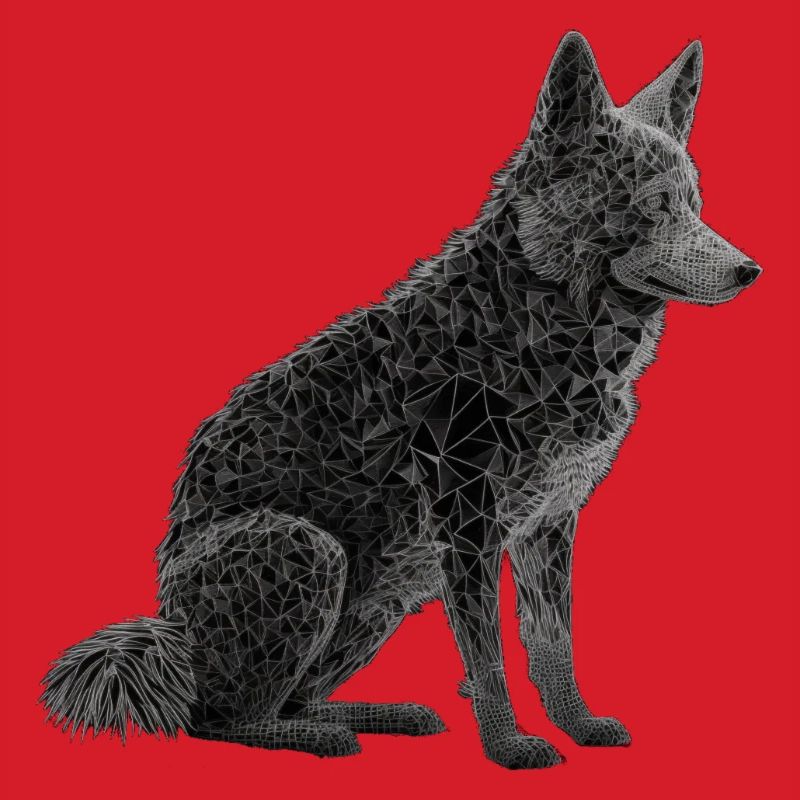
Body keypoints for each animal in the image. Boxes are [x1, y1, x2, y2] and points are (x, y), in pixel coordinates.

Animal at [42, 32, 760, 769]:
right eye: (656, 205)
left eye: (695, 203)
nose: (750, 270)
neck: (535, 321)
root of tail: (169, 636)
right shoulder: (468, 525)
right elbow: (487, 655)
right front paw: (509, 746)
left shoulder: (549, 521)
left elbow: (553, 641)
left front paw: (578, 725)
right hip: (310, 549)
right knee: (217, 717)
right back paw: (318, 737)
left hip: (385, 593)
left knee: (283, 697)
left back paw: (378, 714)